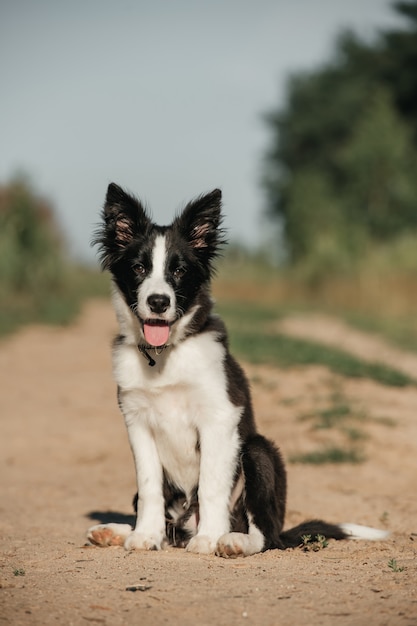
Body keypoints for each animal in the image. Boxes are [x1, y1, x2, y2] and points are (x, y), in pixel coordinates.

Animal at [87, 182, 386, 556]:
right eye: (139, 268)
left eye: (179, 271)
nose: (158, 302)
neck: (166, 355)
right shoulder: (137, 421)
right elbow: (149, 484)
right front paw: (144, 535)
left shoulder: (219, 417)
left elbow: (211, 484)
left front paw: (208, 538)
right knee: (164, 518)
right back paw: (118, 531)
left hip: (258, 452)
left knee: (265, 534)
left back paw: (232, 540)